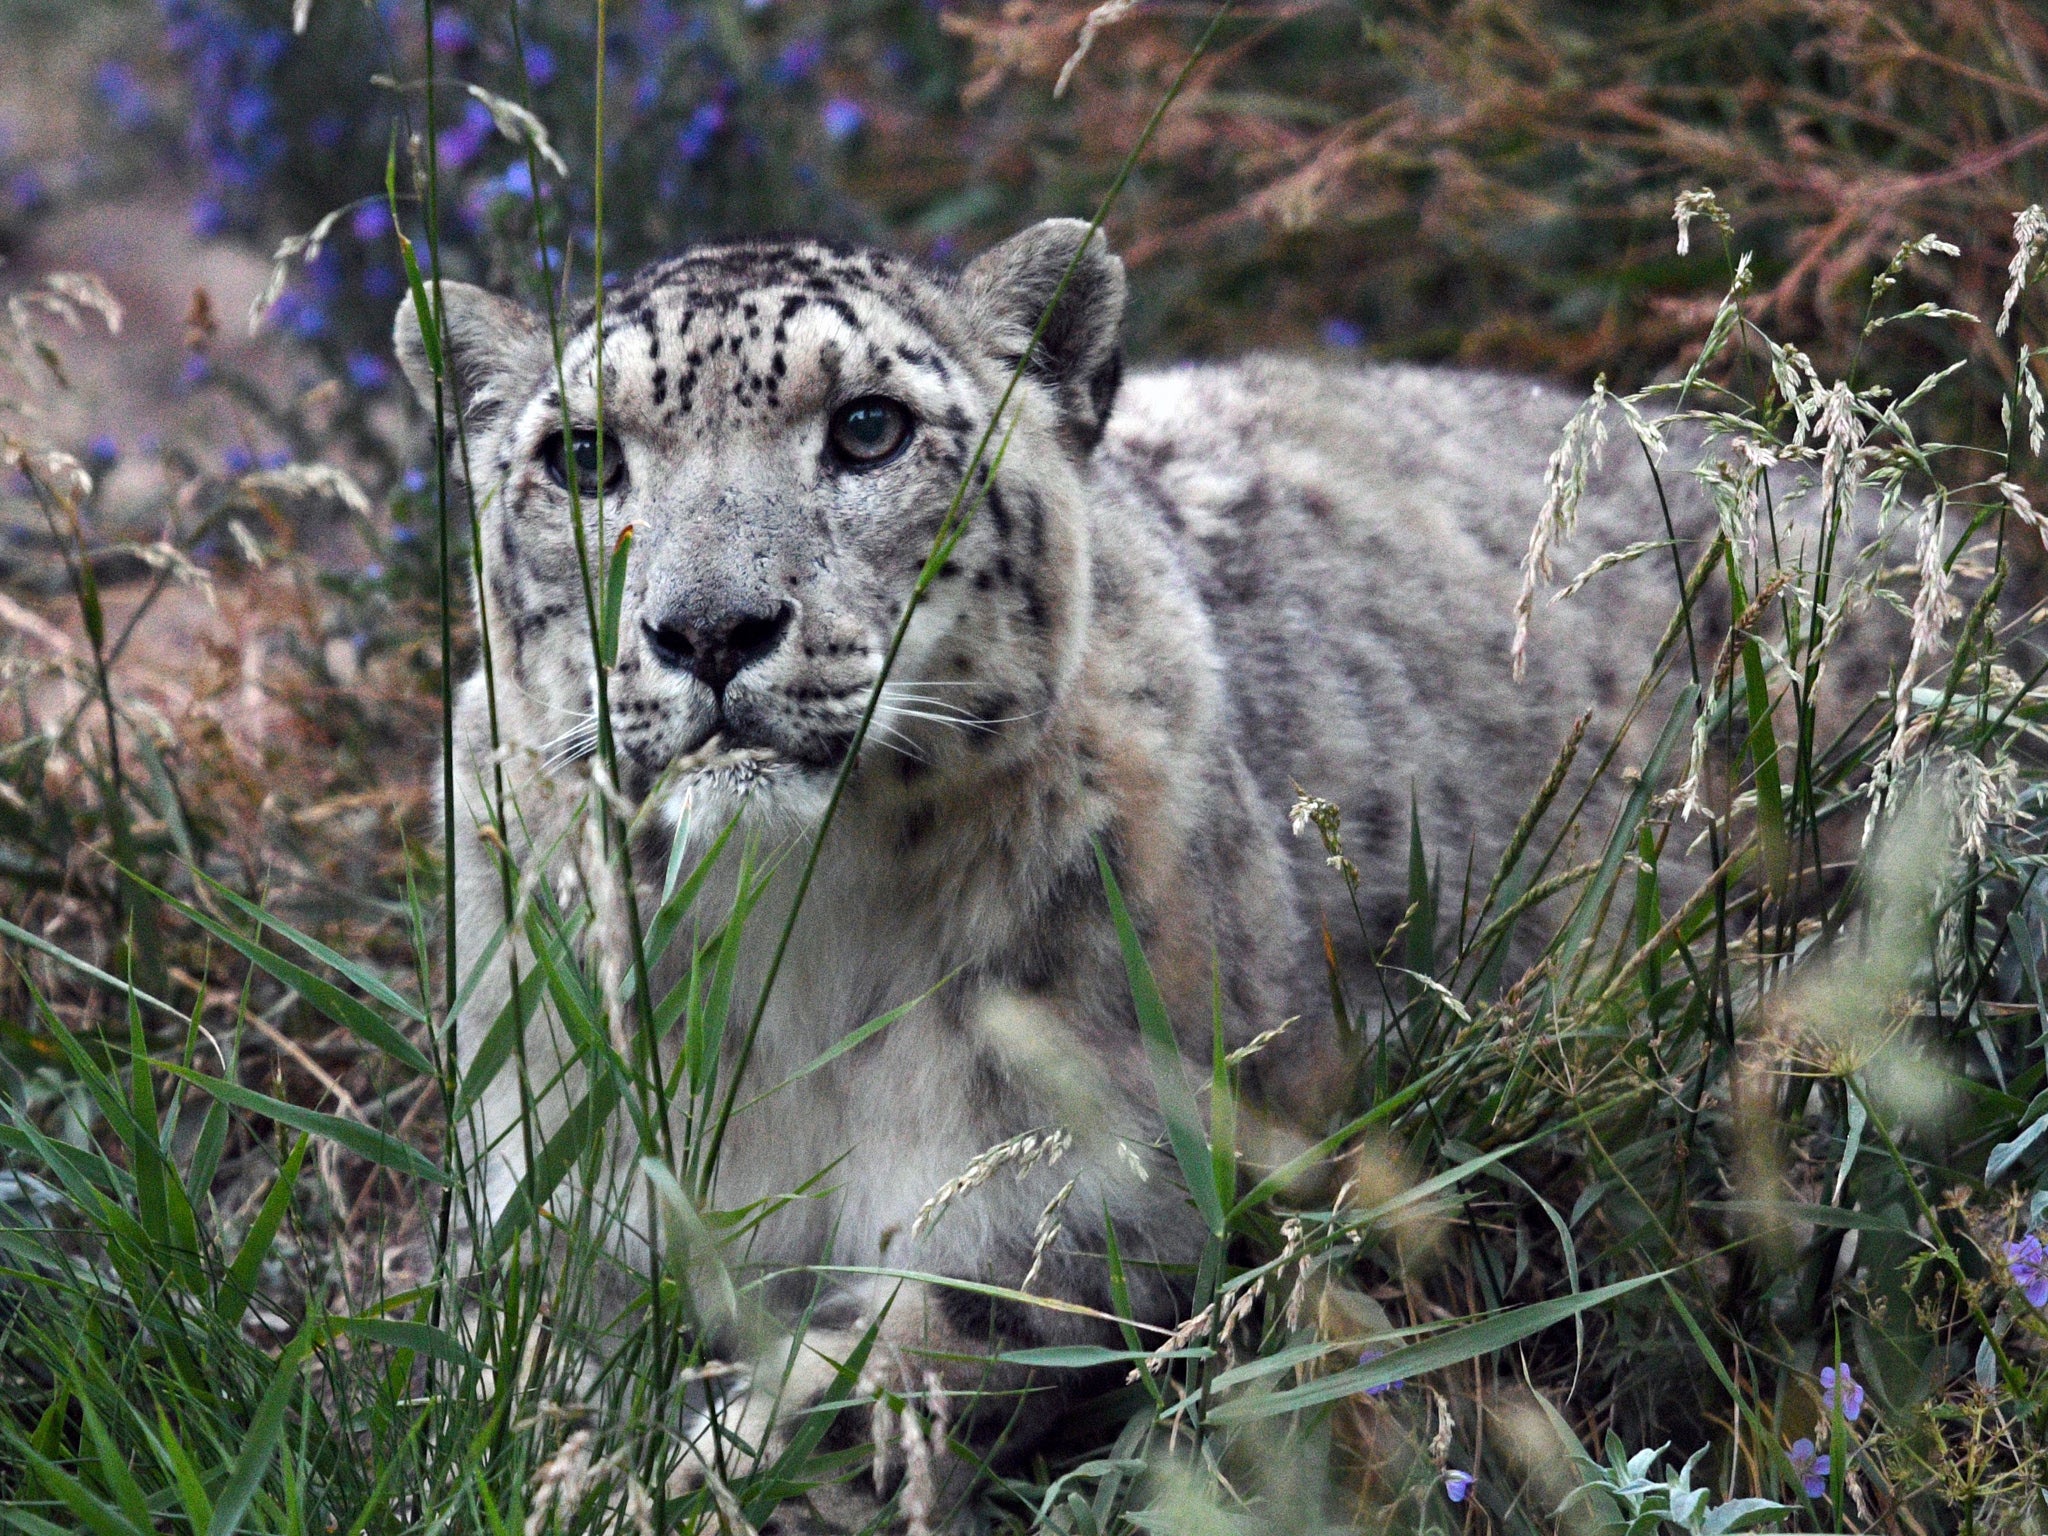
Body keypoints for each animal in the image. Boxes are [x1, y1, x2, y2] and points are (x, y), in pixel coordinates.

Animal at [387, 217, 1859, 1531]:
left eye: (867, 427)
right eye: (580, 456)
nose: (706, 629)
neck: (794, 958)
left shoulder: (1107, 1186)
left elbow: (883, 1366)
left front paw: (671, 1480)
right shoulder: (548, 1191)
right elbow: (507, 1367)